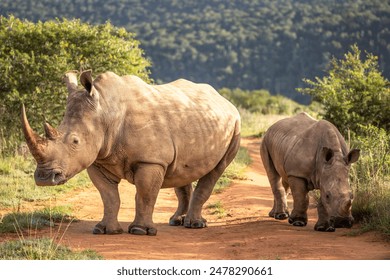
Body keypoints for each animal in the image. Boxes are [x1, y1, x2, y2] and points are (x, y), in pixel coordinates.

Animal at [22, 70, 241, 236]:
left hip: (235, 125)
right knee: (181, 170)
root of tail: (224, 100)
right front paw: (105, 230)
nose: (44, 178)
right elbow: (109, 196)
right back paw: (176, 221)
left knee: (216, 170)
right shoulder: (98, 160)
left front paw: (139, 231)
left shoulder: (151, 160)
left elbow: (144, 194)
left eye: (75, 141)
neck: (105, 112)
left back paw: (194, 225)